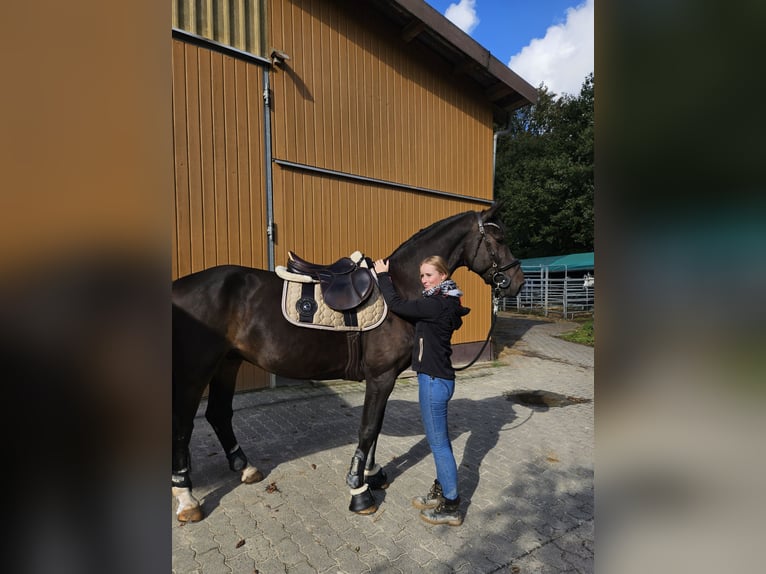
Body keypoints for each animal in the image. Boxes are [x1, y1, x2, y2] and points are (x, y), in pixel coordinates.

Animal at [172, 205, 520, 524]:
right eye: (499, 239)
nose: (516, 281)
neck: (400, 287)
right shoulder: (381, 377)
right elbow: (367, 428)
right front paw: (359, 491)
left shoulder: (385, 378)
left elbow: (375, 427)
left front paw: (373, 474)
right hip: (196, 372)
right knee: (184, 426)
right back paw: (187, 498)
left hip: (227, 363)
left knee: (218, 414)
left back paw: (245, 468)